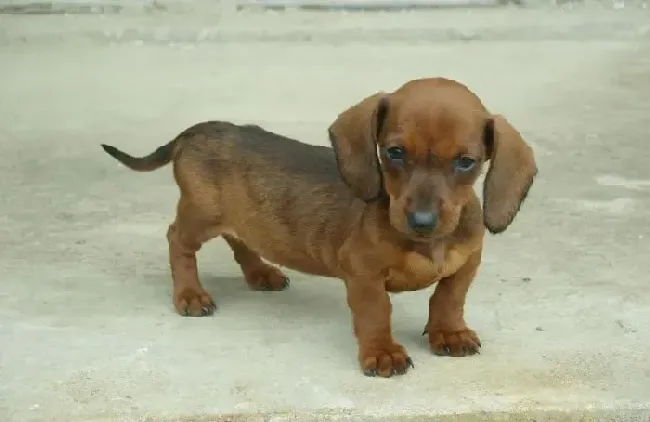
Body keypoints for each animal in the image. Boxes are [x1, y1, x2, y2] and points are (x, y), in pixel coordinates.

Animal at [102, 76, 536, 380]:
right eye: (394, 152)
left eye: (466, 162)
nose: (422, 222)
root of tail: (196, 130)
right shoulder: (362, 273)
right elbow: (376, 312)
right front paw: (382, 352)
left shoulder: (468, 261)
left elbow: (449, 297)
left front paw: (449, 332)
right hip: (201, 214)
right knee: (178, 240)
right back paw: (190, 294)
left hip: (238, 217)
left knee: (239, 239)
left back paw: (261, 273)